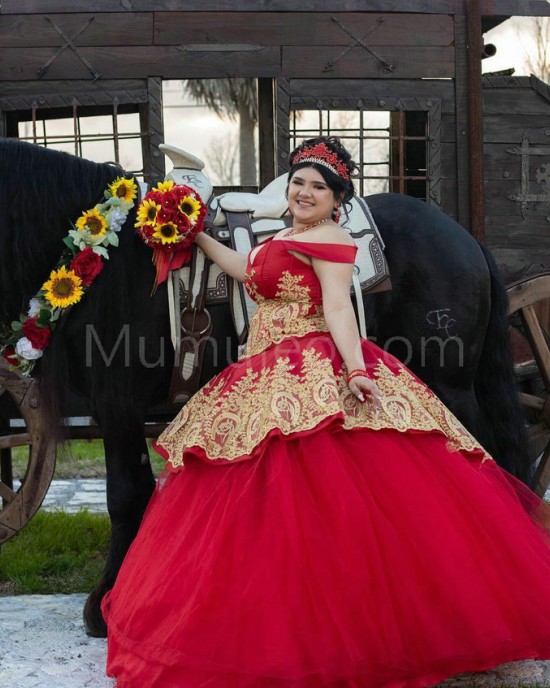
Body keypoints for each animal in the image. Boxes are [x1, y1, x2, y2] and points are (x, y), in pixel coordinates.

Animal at [0, 140, 528, 640]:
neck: (111, 268)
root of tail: (464, 238)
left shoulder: (118, 404)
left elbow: (126, 494)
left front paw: (105, 605)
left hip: (450, 382)